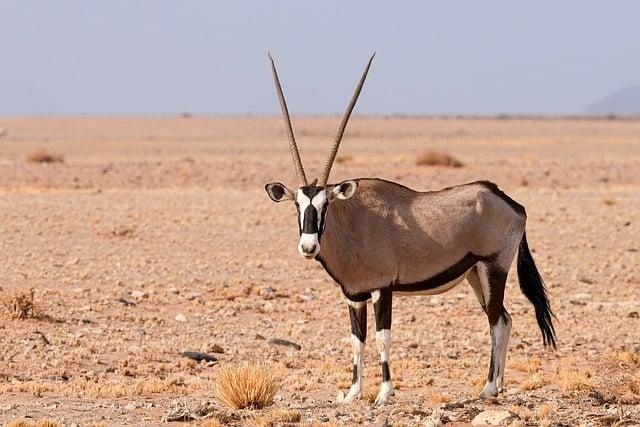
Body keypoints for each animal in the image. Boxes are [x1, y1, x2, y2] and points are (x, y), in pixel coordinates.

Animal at [264, 55, 556, 406]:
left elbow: (382, 338)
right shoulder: (354, 296)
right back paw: (497, 385)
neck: (353, 225)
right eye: (298, 204)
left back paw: (488, 387)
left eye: (325, 205)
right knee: (505, 318)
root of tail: (512, 203)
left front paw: (384, 394)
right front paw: (352, 393)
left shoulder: (382, 289)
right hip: (475, 275)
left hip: (494, 267)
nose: (308, 247)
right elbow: (357, 341)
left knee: (496, 322)